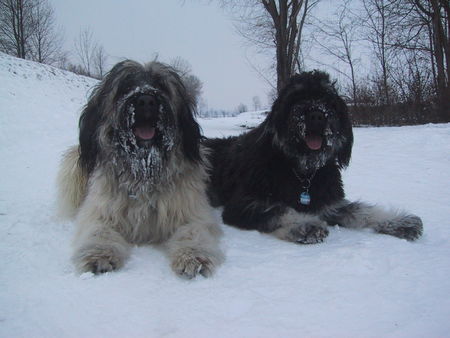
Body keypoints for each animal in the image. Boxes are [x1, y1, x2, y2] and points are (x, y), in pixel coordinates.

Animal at [56, 59, 223, 278]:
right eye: (126, 86)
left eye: (161, 85)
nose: (146, 101)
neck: (145, 170)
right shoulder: (100, 210)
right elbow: (99, 229)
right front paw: (98, 255)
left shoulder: (192, 210)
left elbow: (193, 230)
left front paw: (193, 256)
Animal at [206, 71, 424, 244]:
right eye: (297, 98)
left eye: (329, 101)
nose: (317, 116)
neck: (301, 171)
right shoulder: (243, 204)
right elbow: (280, 210)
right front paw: (304, 226)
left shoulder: (329, 202)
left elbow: (362, 210)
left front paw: (400, 222)